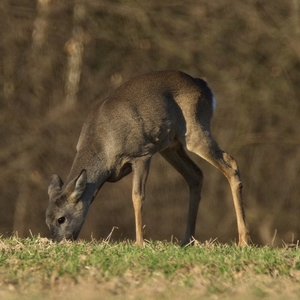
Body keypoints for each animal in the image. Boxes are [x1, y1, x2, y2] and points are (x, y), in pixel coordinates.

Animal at [45, 69, 251, 246]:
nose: (59, 242)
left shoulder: (141, 153)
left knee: (231, 164)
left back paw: (243, 240)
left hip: (195, 130)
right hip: (170, 146)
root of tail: (203, 84)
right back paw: (186, 241)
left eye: (61, 219)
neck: (104, 145)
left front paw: (139, 243)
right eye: (47, 220)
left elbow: (137, 196)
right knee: (196, 175)